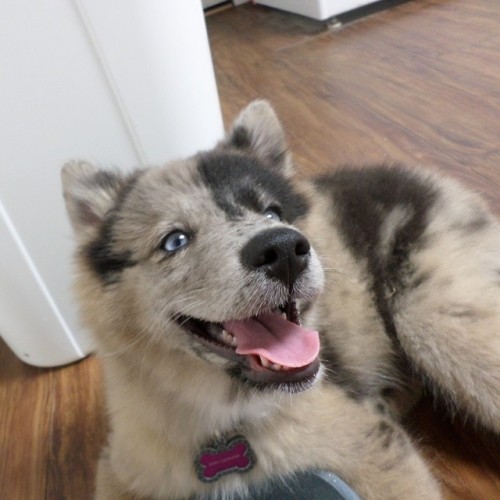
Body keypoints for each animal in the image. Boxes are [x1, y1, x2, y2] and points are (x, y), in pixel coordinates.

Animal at [61, 99, 500, 498]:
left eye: (273, 213)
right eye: (175, 241)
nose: (285, 250)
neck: (224, 419)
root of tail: (429, 178)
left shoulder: (376, 451)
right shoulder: (120, 468)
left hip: (436, 323)